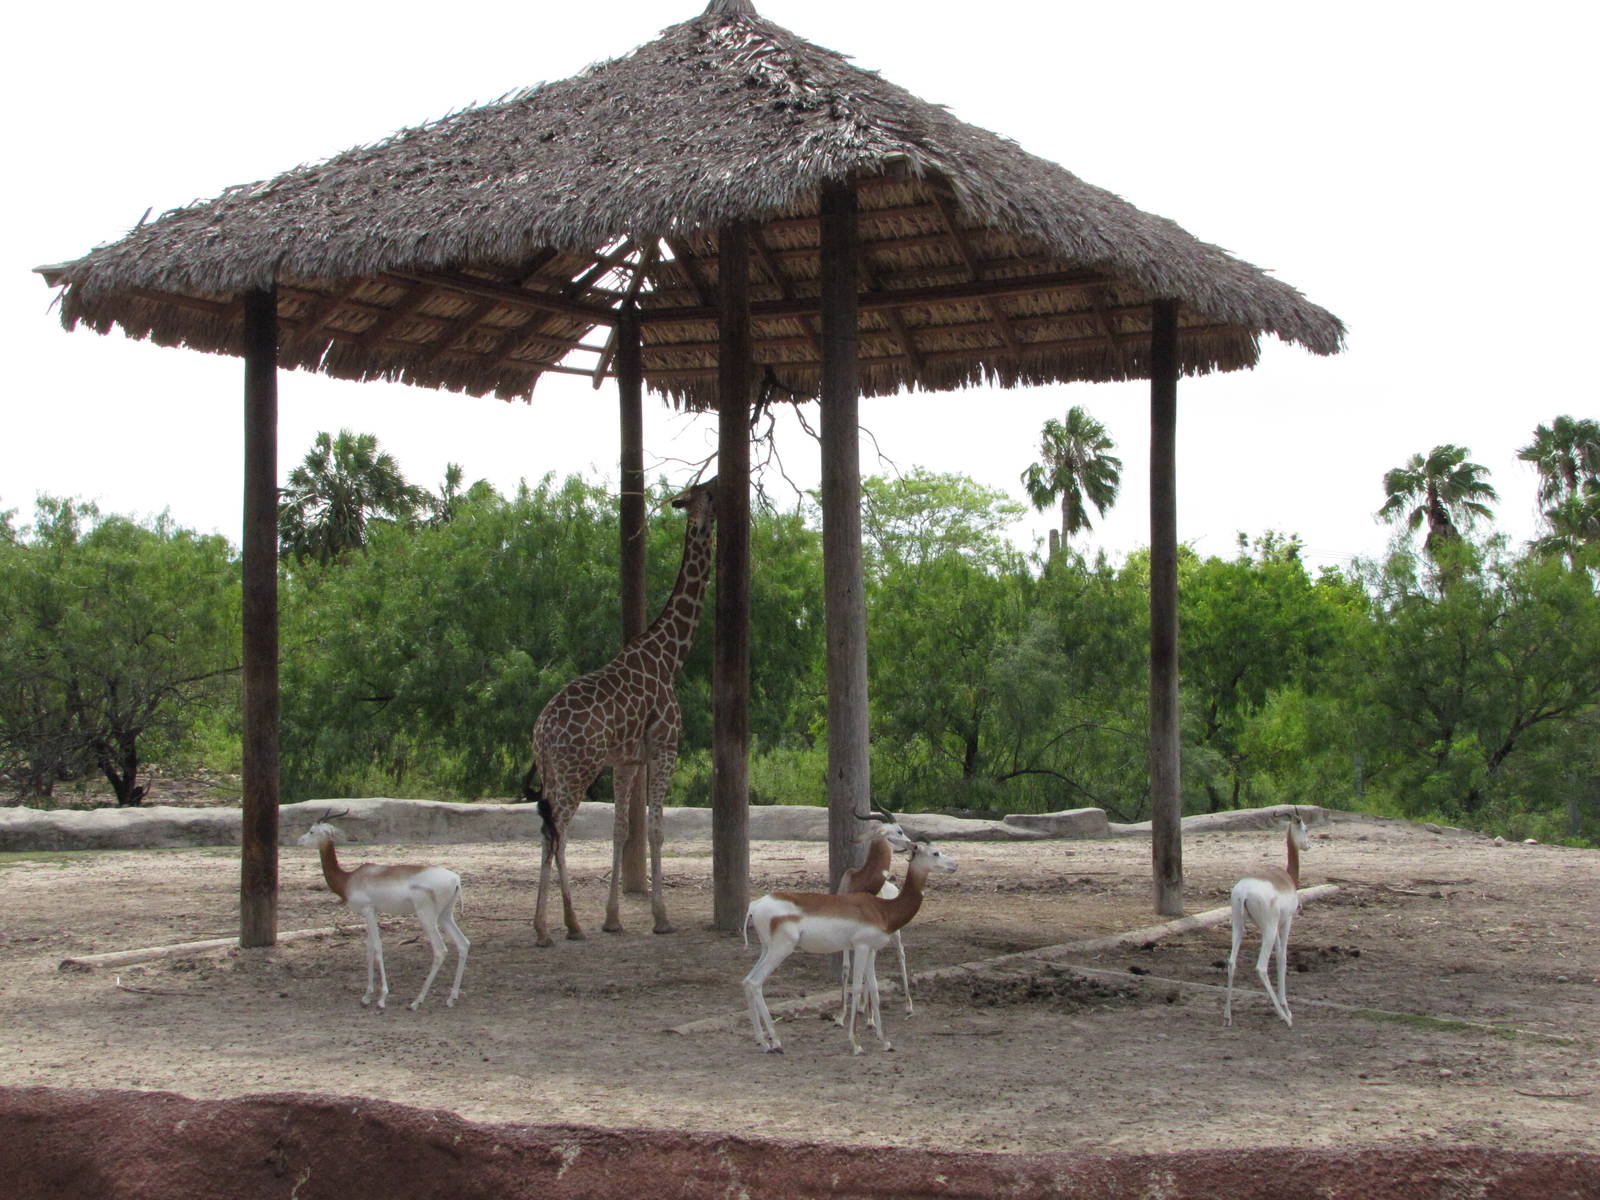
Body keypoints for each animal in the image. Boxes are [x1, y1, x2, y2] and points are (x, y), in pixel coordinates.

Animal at [298, 812, 470, 1012]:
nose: (299, 841)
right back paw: (451, 998)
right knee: (463, 944)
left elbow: (377, 948)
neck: (349, 879)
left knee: (440, 950)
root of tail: (455, 879)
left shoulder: (369, 911)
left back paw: (416, 1002)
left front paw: (382, 998)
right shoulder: (370, 914)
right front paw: (366, 996)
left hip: (426, 917)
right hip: (445, 916)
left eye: (312, 831)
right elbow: (369, 949)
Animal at [522, 477, 716, 947]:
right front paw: (661, 918)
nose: (722, 488)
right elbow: (656, 830)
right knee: (557, 832)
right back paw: (556, 926)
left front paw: (613, 919)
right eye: (706, 491)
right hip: (576, 770)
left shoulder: (626, 760)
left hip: (555, 771)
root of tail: (541, 729)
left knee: (547, 831)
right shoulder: (665, 747)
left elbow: (620, 831)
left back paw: (561, 924)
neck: (669, 657)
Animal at [744, 835, 957, 1055]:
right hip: (781, 950)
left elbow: (874, 990)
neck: (883, 909)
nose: (954, 865)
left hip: (766, 949)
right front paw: (855, 1044)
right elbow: (856, 989)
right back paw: (776, 1042)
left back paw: (764, 1042)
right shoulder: (861, 947)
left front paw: (884, 1041)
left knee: (747, 981)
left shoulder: (871, 950)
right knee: (755, 982)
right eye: (935, 853)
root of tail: (755, 905)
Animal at [1224, 808, 1311, 1027]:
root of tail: (1244, 892)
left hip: (1239, 926)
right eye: (1305, 828)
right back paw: (1284, 1018)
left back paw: (1227, 1016)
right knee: (1261, 967)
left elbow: (1279, 956)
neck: (1288, 878)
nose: (1308, 845)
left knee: (1231, 962)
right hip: (1268, 931)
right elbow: (1282, 957)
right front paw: (1287, 1011)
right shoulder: (1286, 922)